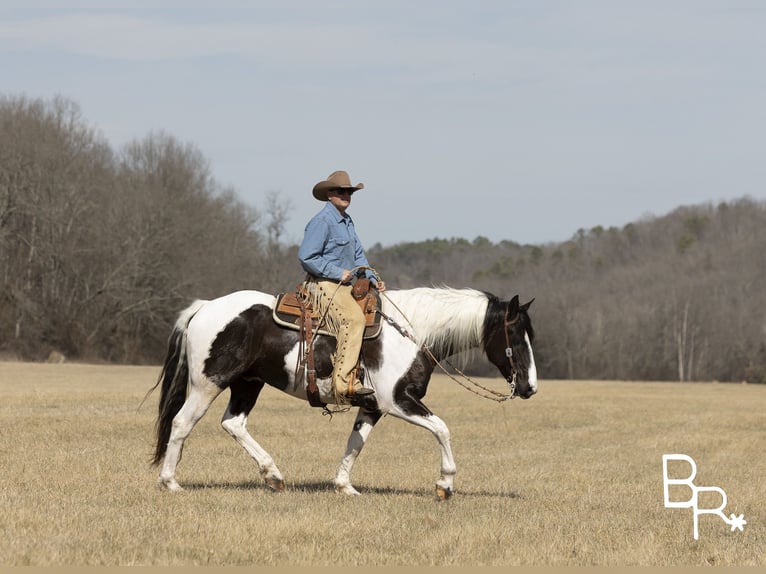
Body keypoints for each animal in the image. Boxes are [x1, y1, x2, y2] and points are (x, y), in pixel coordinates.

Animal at [148, 288, 536, 500]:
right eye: (516, 337)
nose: (530, 387)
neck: (412, 332)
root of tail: (204, 307)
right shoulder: (398, 401)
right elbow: (442, 428)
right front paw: (445, 484)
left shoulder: (372, 406)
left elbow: (355, 443)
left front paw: (344, 485)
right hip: (208, 383)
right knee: (182, 423)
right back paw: (170, 482)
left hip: (248, 383)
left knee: (233, 423)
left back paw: (273, 475)